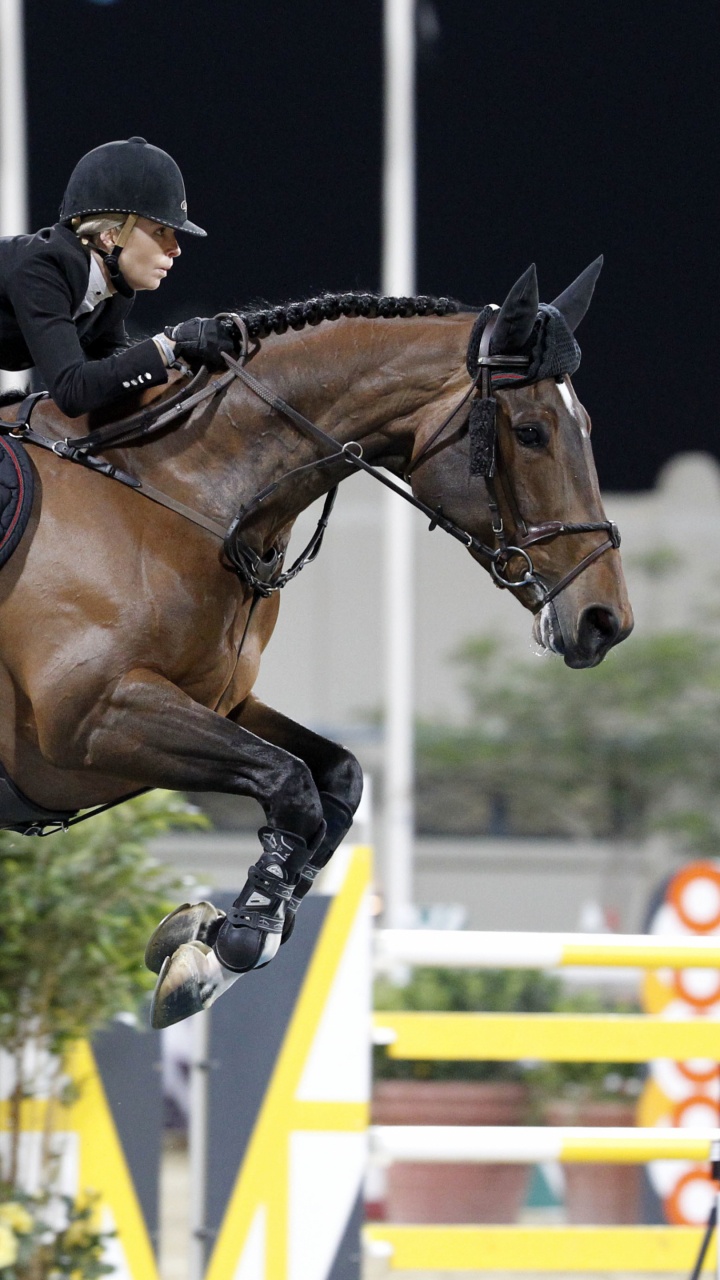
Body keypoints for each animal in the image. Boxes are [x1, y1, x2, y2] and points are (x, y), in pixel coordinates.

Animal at [0, 259, 633, 1027]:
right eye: (534, 431)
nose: (605, 619)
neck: (177, 493)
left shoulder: (215, 702)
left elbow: (336, 774)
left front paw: (216, 944)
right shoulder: (91, 719)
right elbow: (291, 783)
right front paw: (235, 940)